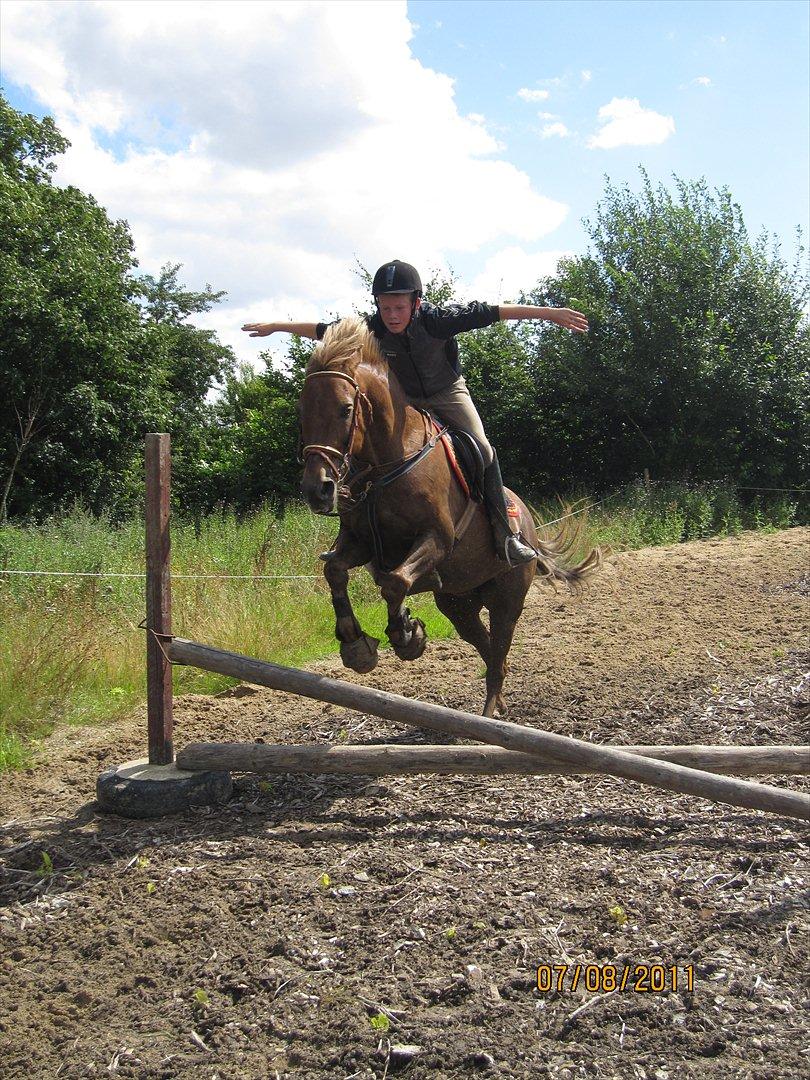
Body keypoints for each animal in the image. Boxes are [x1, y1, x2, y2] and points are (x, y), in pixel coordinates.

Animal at [300, 315, 604, 717]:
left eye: (345, 409)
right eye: (303, 410)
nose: (316, 489)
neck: (388, 463)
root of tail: (531, 530)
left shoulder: (437, 538)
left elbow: (394, 582)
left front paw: (406, 636)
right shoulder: (361, 542)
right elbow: (336, 570)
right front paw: (354, 642)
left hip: (507, 599)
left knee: (499, 647)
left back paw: (491, 711)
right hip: (458, 604)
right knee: (489, 651)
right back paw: (497, 702)